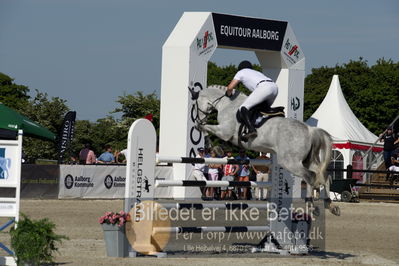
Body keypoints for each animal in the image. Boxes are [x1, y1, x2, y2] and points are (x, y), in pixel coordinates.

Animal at [191, 85, 340, 216]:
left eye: (195, 106)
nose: (198, 118)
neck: (227, 104)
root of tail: (310, 130)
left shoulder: (224, 132)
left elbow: (206, 128)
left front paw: (205, 137)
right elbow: (206, 128)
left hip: (290, 162)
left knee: (310, 176)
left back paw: (311, 206)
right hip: (307, 161)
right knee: (323, 176)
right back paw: (330, 205)